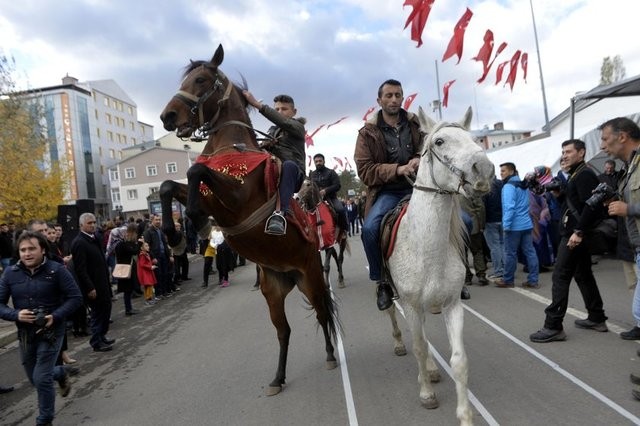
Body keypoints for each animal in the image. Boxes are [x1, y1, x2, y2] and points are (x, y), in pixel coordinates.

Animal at [159, 44, 340, 396]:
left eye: (201, 79)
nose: (167, 116)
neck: (231, 145)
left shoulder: (236, 198)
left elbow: (195, 169)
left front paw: (195, 221)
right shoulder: (212, 197)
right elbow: (169, 185)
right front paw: (175, 235)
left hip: (311, 278)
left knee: (323, 313)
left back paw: (328, 355)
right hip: (273, 291)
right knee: (284, 331)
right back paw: (277, 378)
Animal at [384, 105, 496, 424]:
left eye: (474, 138)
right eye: (440, 141)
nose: (483, 169)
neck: (427, 249)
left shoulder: (452, 305)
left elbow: (458, 360)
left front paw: (466, 415)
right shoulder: (409, 304)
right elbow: (419, 348)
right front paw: (426, 394)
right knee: (397, 320)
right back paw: (400, 344)